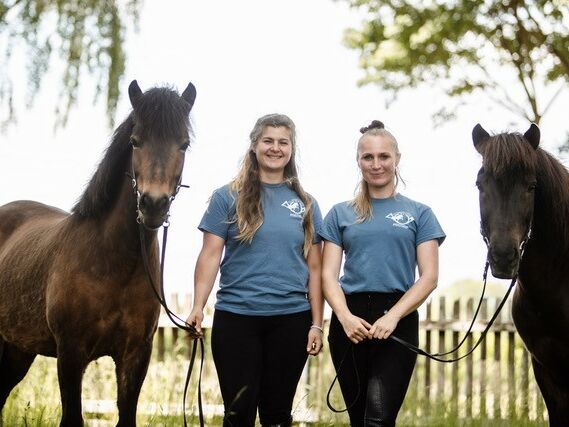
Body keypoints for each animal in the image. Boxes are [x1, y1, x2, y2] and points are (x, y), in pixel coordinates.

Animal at [0, 78, 197, 426]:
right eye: (135, 141)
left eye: (183, 144)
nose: (153, 204)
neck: (114, 263)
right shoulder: (70, 353)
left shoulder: (135, 355)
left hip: (18, 349)